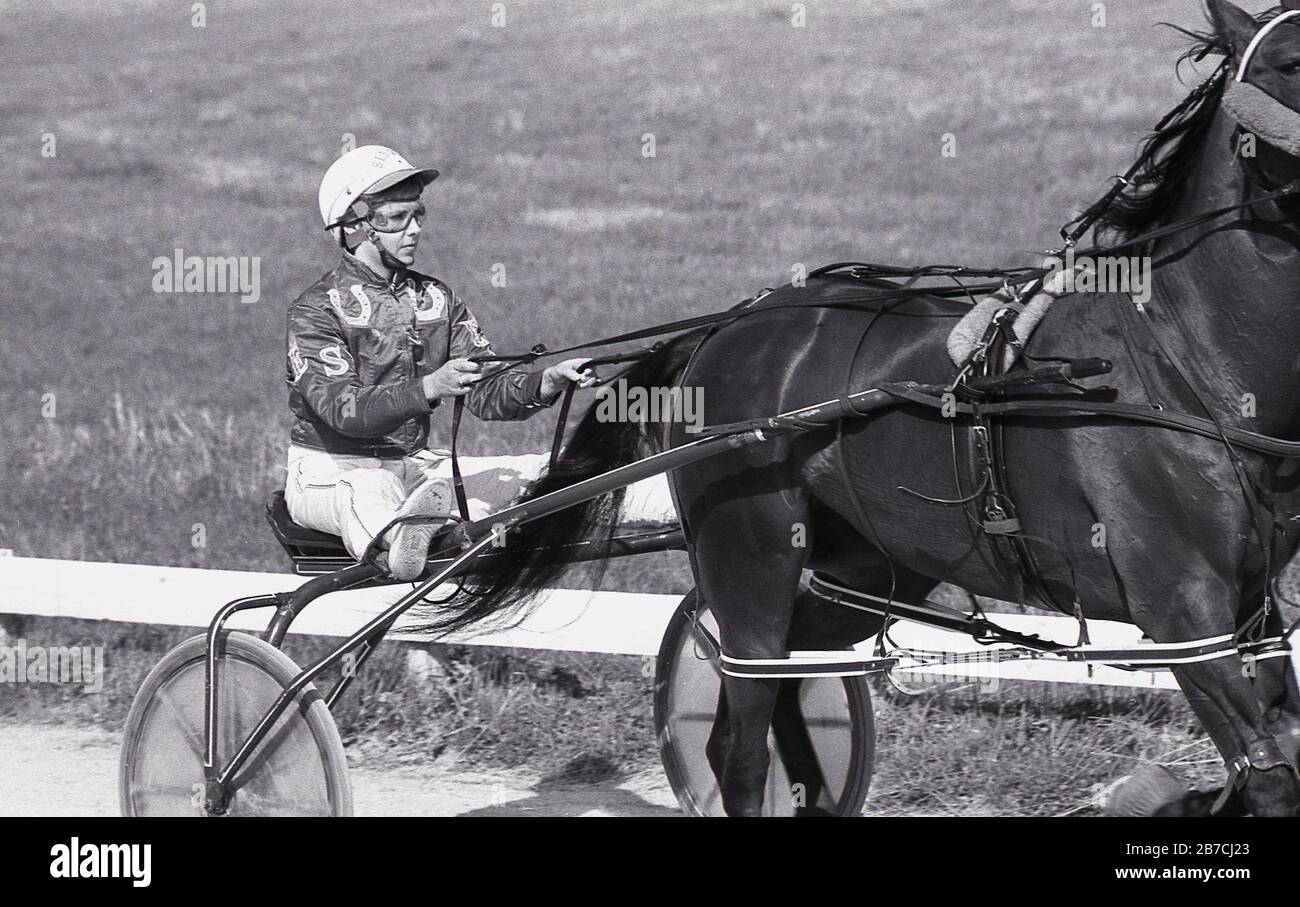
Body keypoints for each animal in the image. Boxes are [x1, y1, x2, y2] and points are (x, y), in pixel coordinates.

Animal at [424, 0, 1300, 816]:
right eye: (1288, 60)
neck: (1179, 359)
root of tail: (721, 328)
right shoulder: (1184, 613)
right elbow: (1270, 776)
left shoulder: (1254, 610)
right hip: (751, 560)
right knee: (737, 740)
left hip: (867, 563)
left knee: (789, 693)